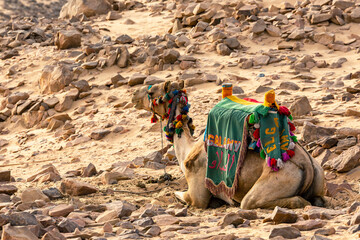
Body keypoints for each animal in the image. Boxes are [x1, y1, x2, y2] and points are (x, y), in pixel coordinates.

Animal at [132, 80, 326, 208]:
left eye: (152, 92)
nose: (134, 95)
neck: (187, 151)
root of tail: (307, 164)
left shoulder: (197, 193)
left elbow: (185, 197)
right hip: (318, 176)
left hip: (279, 178)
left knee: (255, 202)